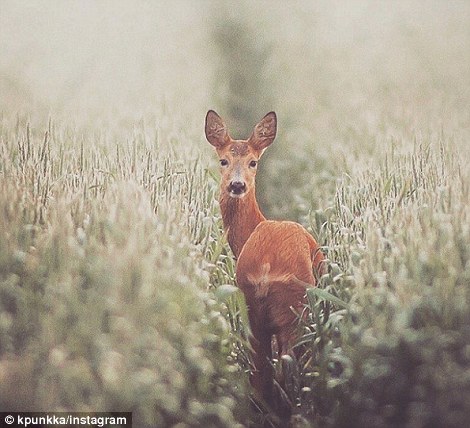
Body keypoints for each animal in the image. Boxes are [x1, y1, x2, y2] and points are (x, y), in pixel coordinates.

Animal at [204, 109, 324, 414]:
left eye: (253, 162)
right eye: (223, 160)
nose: (237, 184)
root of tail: (268, 267)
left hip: (253, 305)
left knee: (262, 372)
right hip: (295, 309)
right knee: (284, 368)